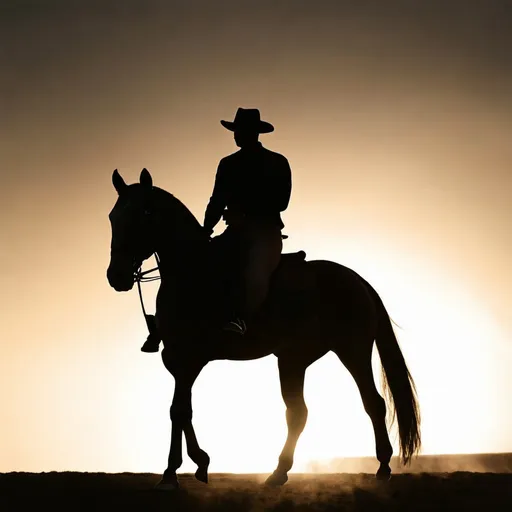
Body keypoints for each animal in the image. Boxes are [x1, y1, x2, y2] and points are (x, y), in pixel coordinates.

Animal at [105, 169, 420, 492]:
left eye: (145, 212)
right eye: (113, 216)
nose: (117, 276)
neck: (192, 273)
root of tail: (357, 280)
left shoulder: (191, 358)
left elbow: (179, 410)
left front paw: (180, 469)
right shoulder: (176, 359)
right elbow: (180, 410)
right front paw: (187, 466)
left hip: (352, 351)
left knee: (372, 403)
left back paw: (382, 466)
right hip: (294, 359)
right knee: (299, 412)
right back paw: (280, 472)